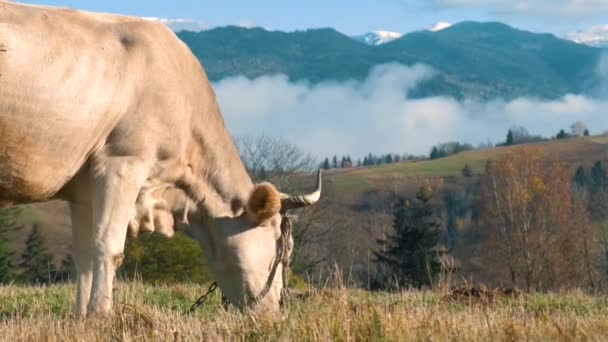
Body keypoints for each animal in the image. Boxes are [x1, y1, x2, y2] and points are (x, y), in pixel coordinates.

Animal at [0, 2, 324, 318]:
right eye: (283, 248)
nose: (278, 310)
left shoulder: (83, 191)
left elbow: (85, 256)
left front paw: (80, 319)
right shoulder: (122, 164)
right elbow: (108, 246)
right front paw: (100, 315)